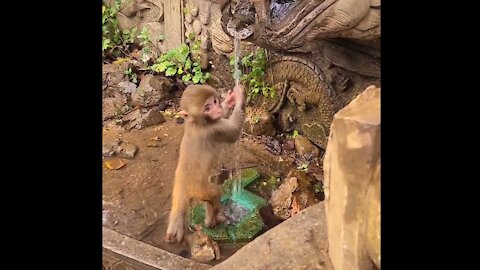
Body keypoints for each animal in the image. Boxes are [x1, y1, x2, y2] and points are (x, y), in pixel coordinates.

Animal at [165, 83, 246, 243]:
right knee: (215, 194)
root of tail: (183, 189)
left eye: (214, 102)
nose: (217, 109)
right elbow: (234, 132)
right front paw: (239, 98)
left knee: (208, 201)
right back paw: (212, 221)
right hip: (201, 188)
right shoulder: (214, 128)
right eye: (207, 108)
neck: (196, 123)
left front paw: (229, 101)